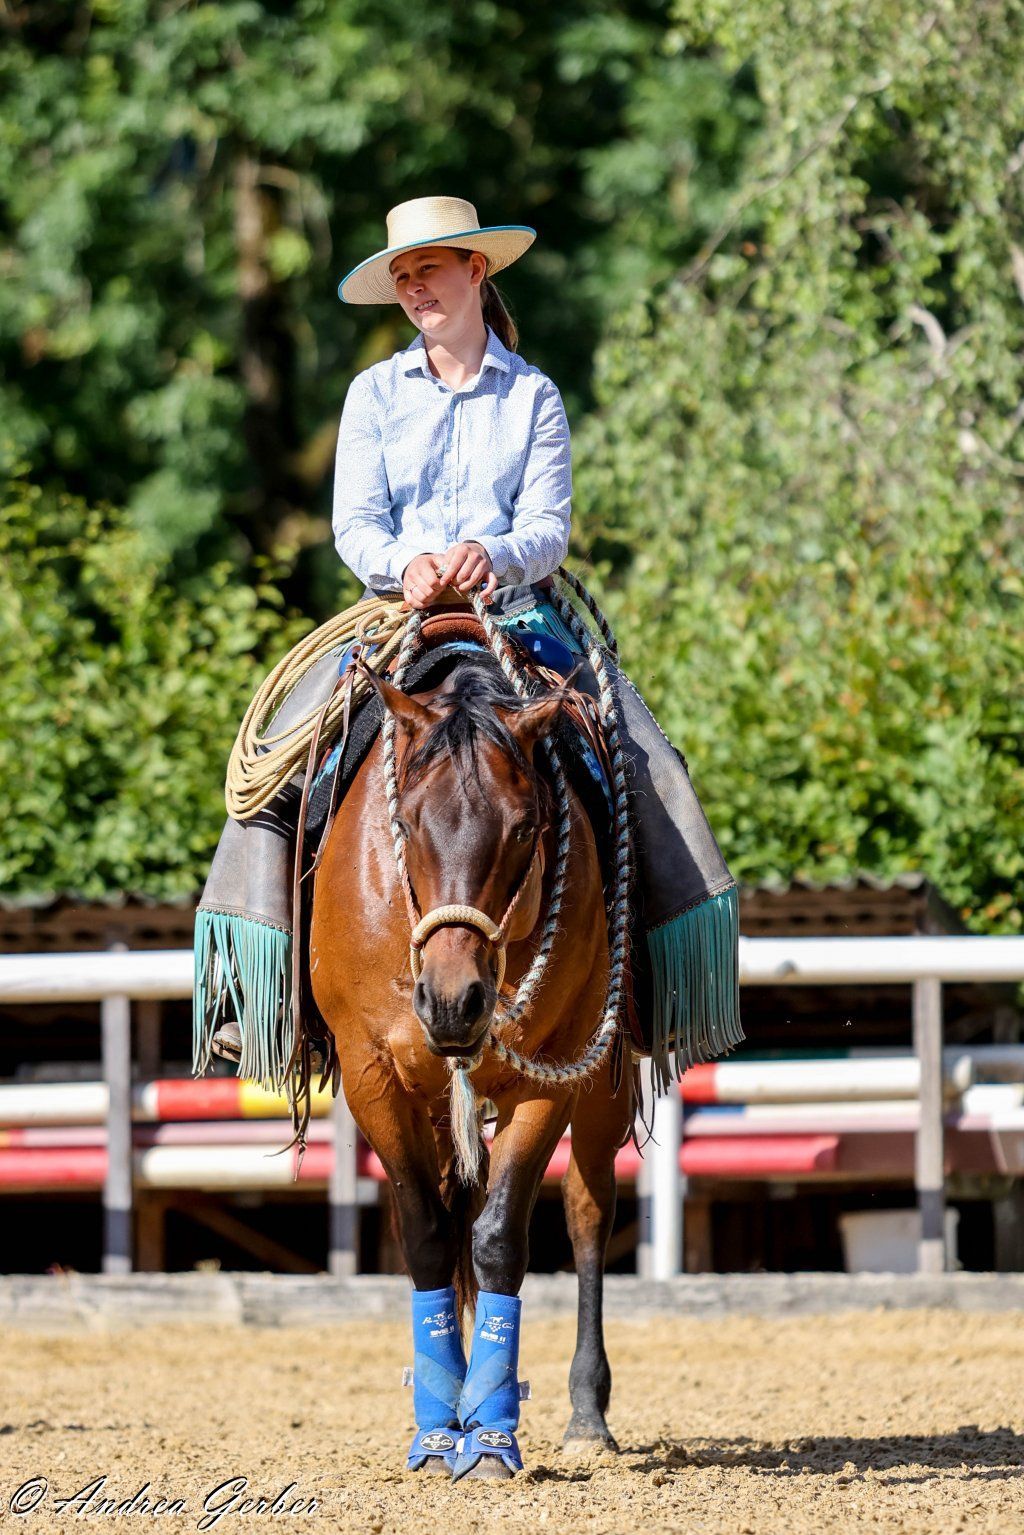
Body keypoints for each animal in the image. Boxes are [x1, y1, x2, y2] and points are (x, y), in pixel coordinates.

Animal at [308, 624, 634, 1480]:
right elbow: (427, 1235)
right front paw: (437, 1430)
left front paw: (489, 1437)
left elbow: (497, 1237)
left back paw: (587, 1414)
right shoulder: (371, 1073)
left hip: (606, 1088)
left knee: (588, 1212)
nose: (454, 1000)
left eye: (524, 826)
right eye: (411, 821)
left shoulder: (552, 1074)